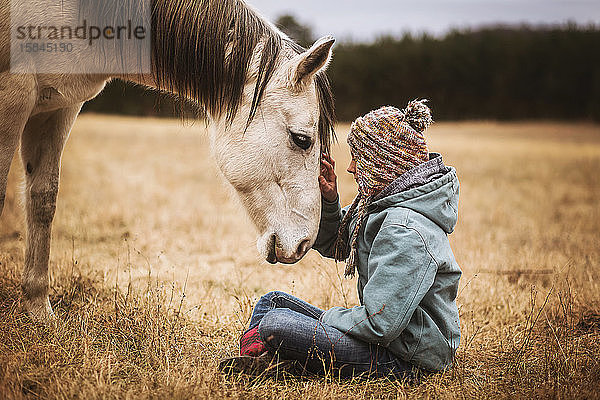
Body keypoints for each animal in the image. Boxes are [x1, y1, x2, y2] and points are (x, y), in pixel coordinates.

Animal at [0, 0, 338, 320]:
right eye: (302, 139)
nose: (305, 243)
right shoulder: (14, 95)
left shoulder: (58, 108)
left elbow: (43, 201)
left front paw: (38, 310)